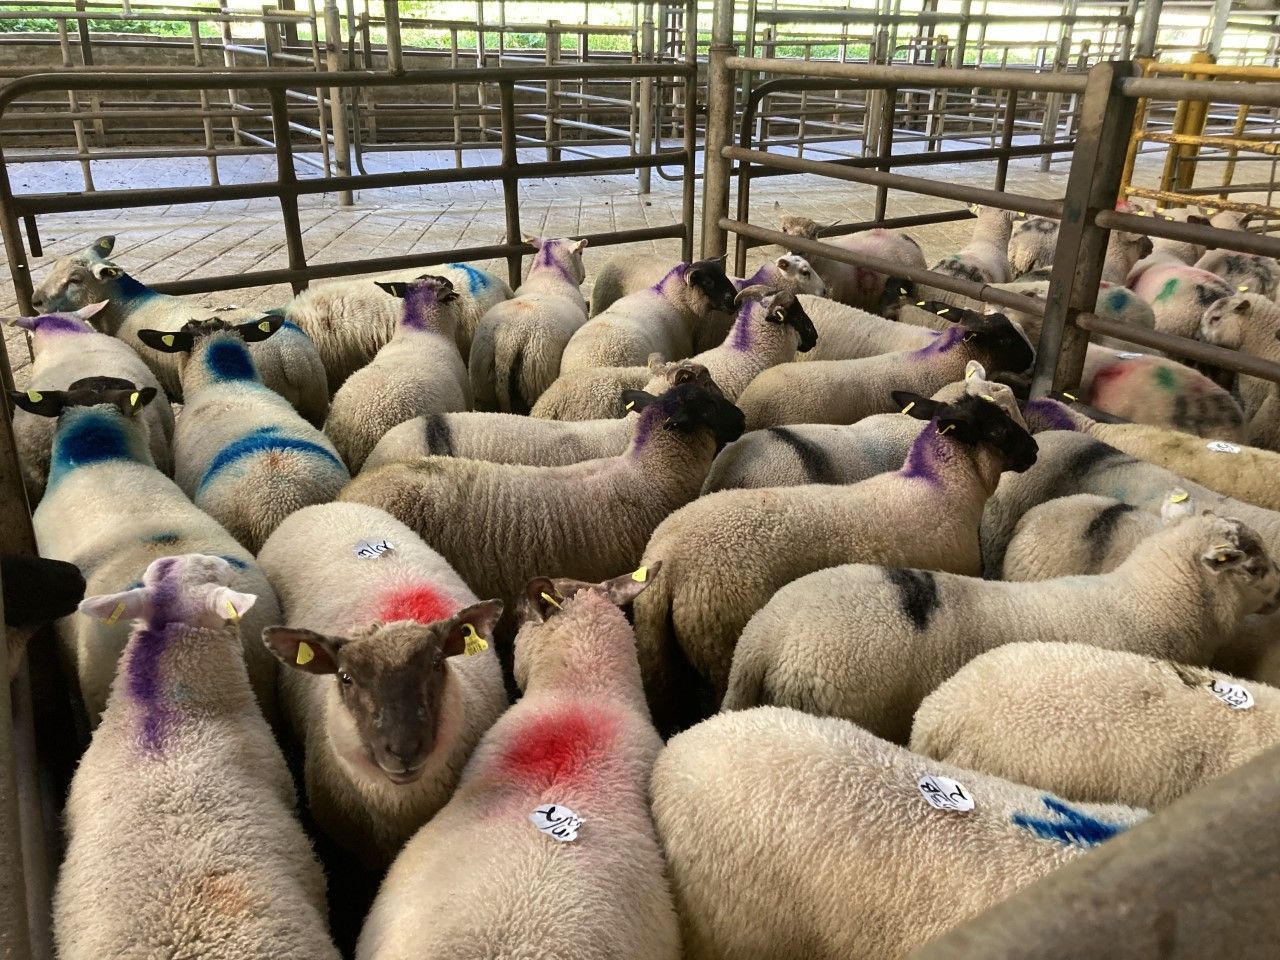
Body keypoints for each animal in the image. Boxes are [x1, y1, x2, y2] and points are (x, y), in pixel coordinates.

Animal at [469, 238, 588, 414]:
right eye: (580, 253)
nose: (584, 277)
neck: (550, 274)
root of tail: (507, 341)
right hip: (536, 377)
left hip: (482, 387)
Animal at [632, 391, 1039, 732]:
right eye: (999, 429)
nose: (1035, 449)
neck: (940, 487)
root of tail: (667, 559)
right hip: (719, 640)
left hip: (659, 650)